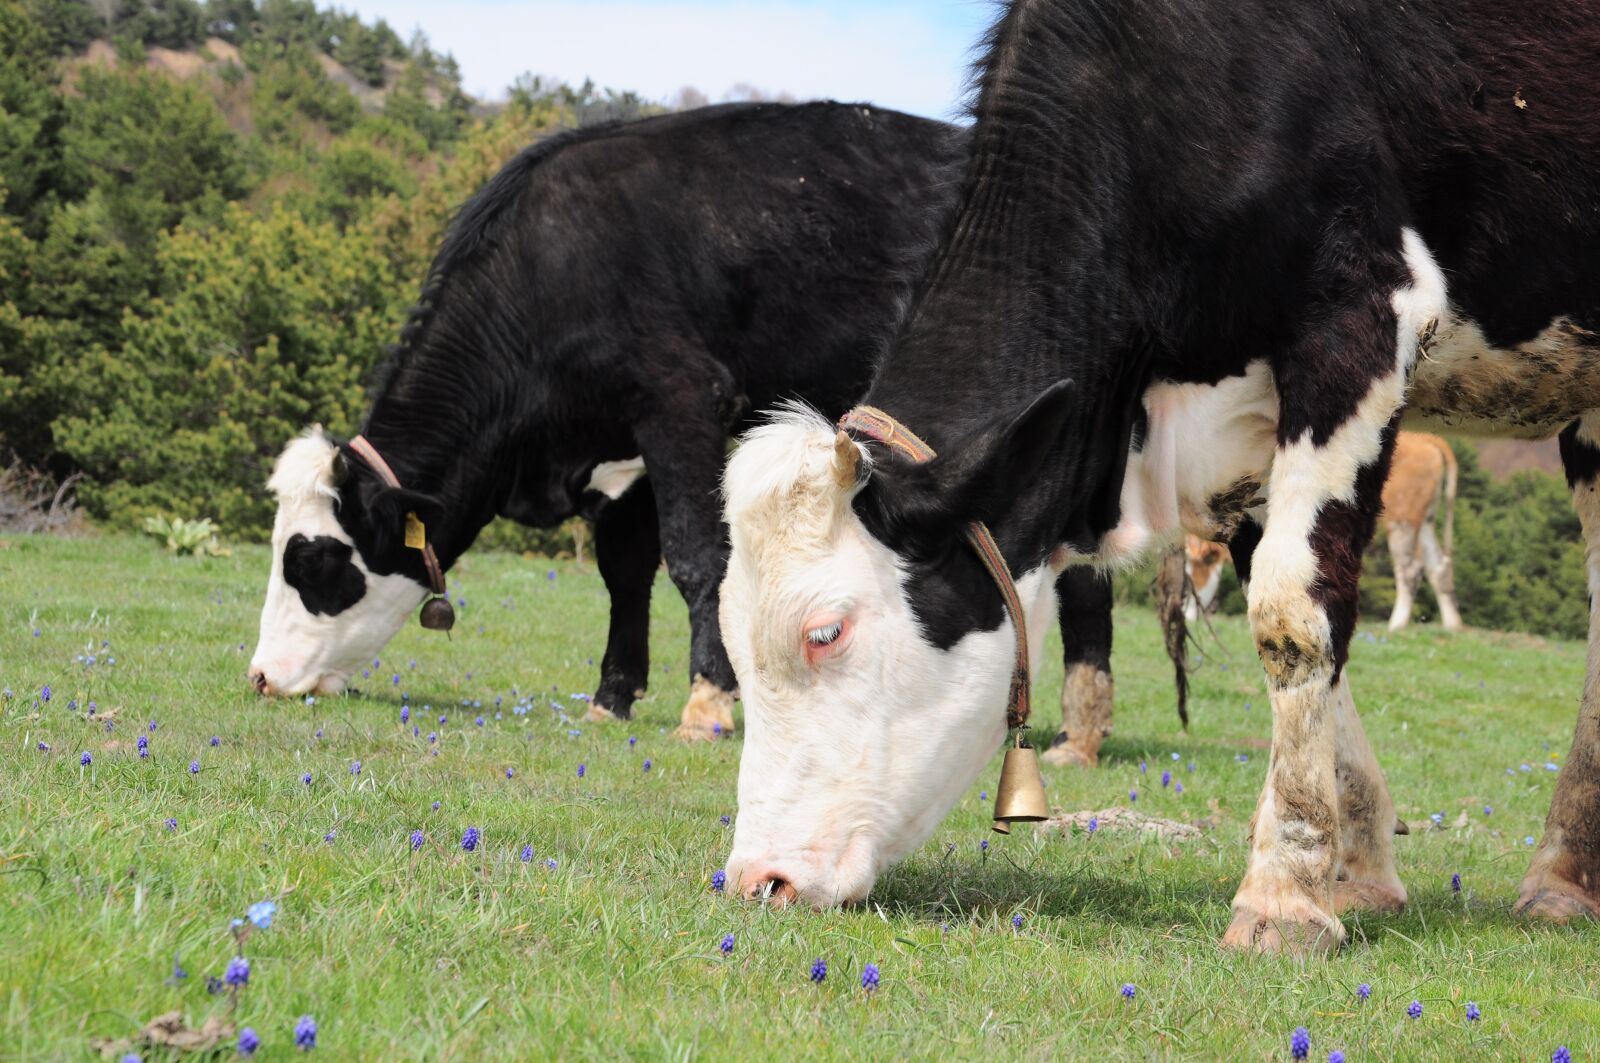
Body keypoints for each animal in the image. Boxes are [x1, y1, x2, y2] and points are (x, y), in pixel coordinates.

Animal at [248, 101, 964, 738]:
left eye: (312, 560)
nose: (259, 677)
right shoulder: (621, 444)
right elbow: (623, 569)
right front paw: (611, 698)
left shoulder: (680, 402)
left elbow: (697, 557)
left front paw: (708, 701)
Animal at [717, 0, 1600, 955]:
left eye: (826, 631)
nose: (758, 878)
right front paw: (1358, 868)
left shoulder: (1357, 319)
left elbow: (1294, 615)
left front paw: (1285, 891)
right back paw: (1566, 876)